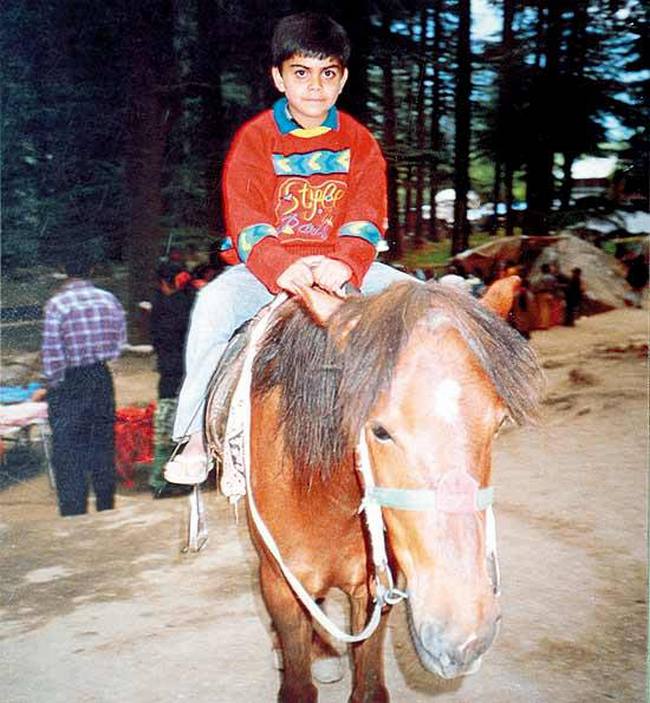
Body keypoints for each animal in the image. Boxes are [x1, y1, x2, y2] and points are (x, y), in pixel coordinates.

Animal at [209, 280, 540, 703]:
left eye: (498, 423)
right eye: (379, 430)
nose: (465, 637)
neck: (325, 499)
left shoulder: (374, 590)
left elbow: (367, 686)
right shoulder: (280, 587)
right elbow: (298, 683)